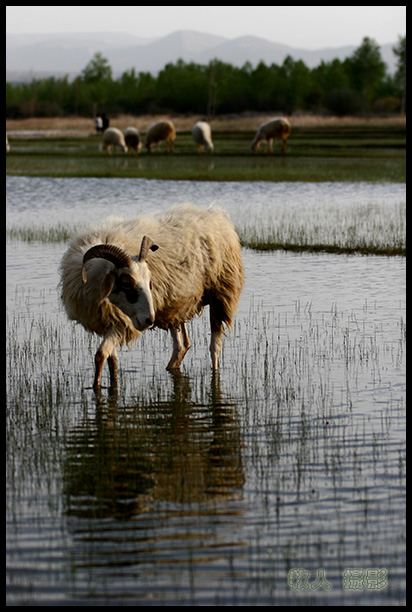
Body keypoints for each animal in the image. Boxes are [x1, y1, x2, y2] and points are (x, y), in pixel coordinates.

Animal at [59, 203, 243, 390]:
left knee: (215, 348)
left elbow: (100, 356)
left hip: (220, 295)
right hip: (177, 307)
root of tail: (215, 215)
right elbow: (112, 360)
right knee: (182, 345)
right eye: (126, 283)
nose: (150, 320)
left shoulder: (121, 324)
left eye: (149, 282)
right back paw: (171, 368)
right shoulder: (111, 321)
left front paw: (96, 387)